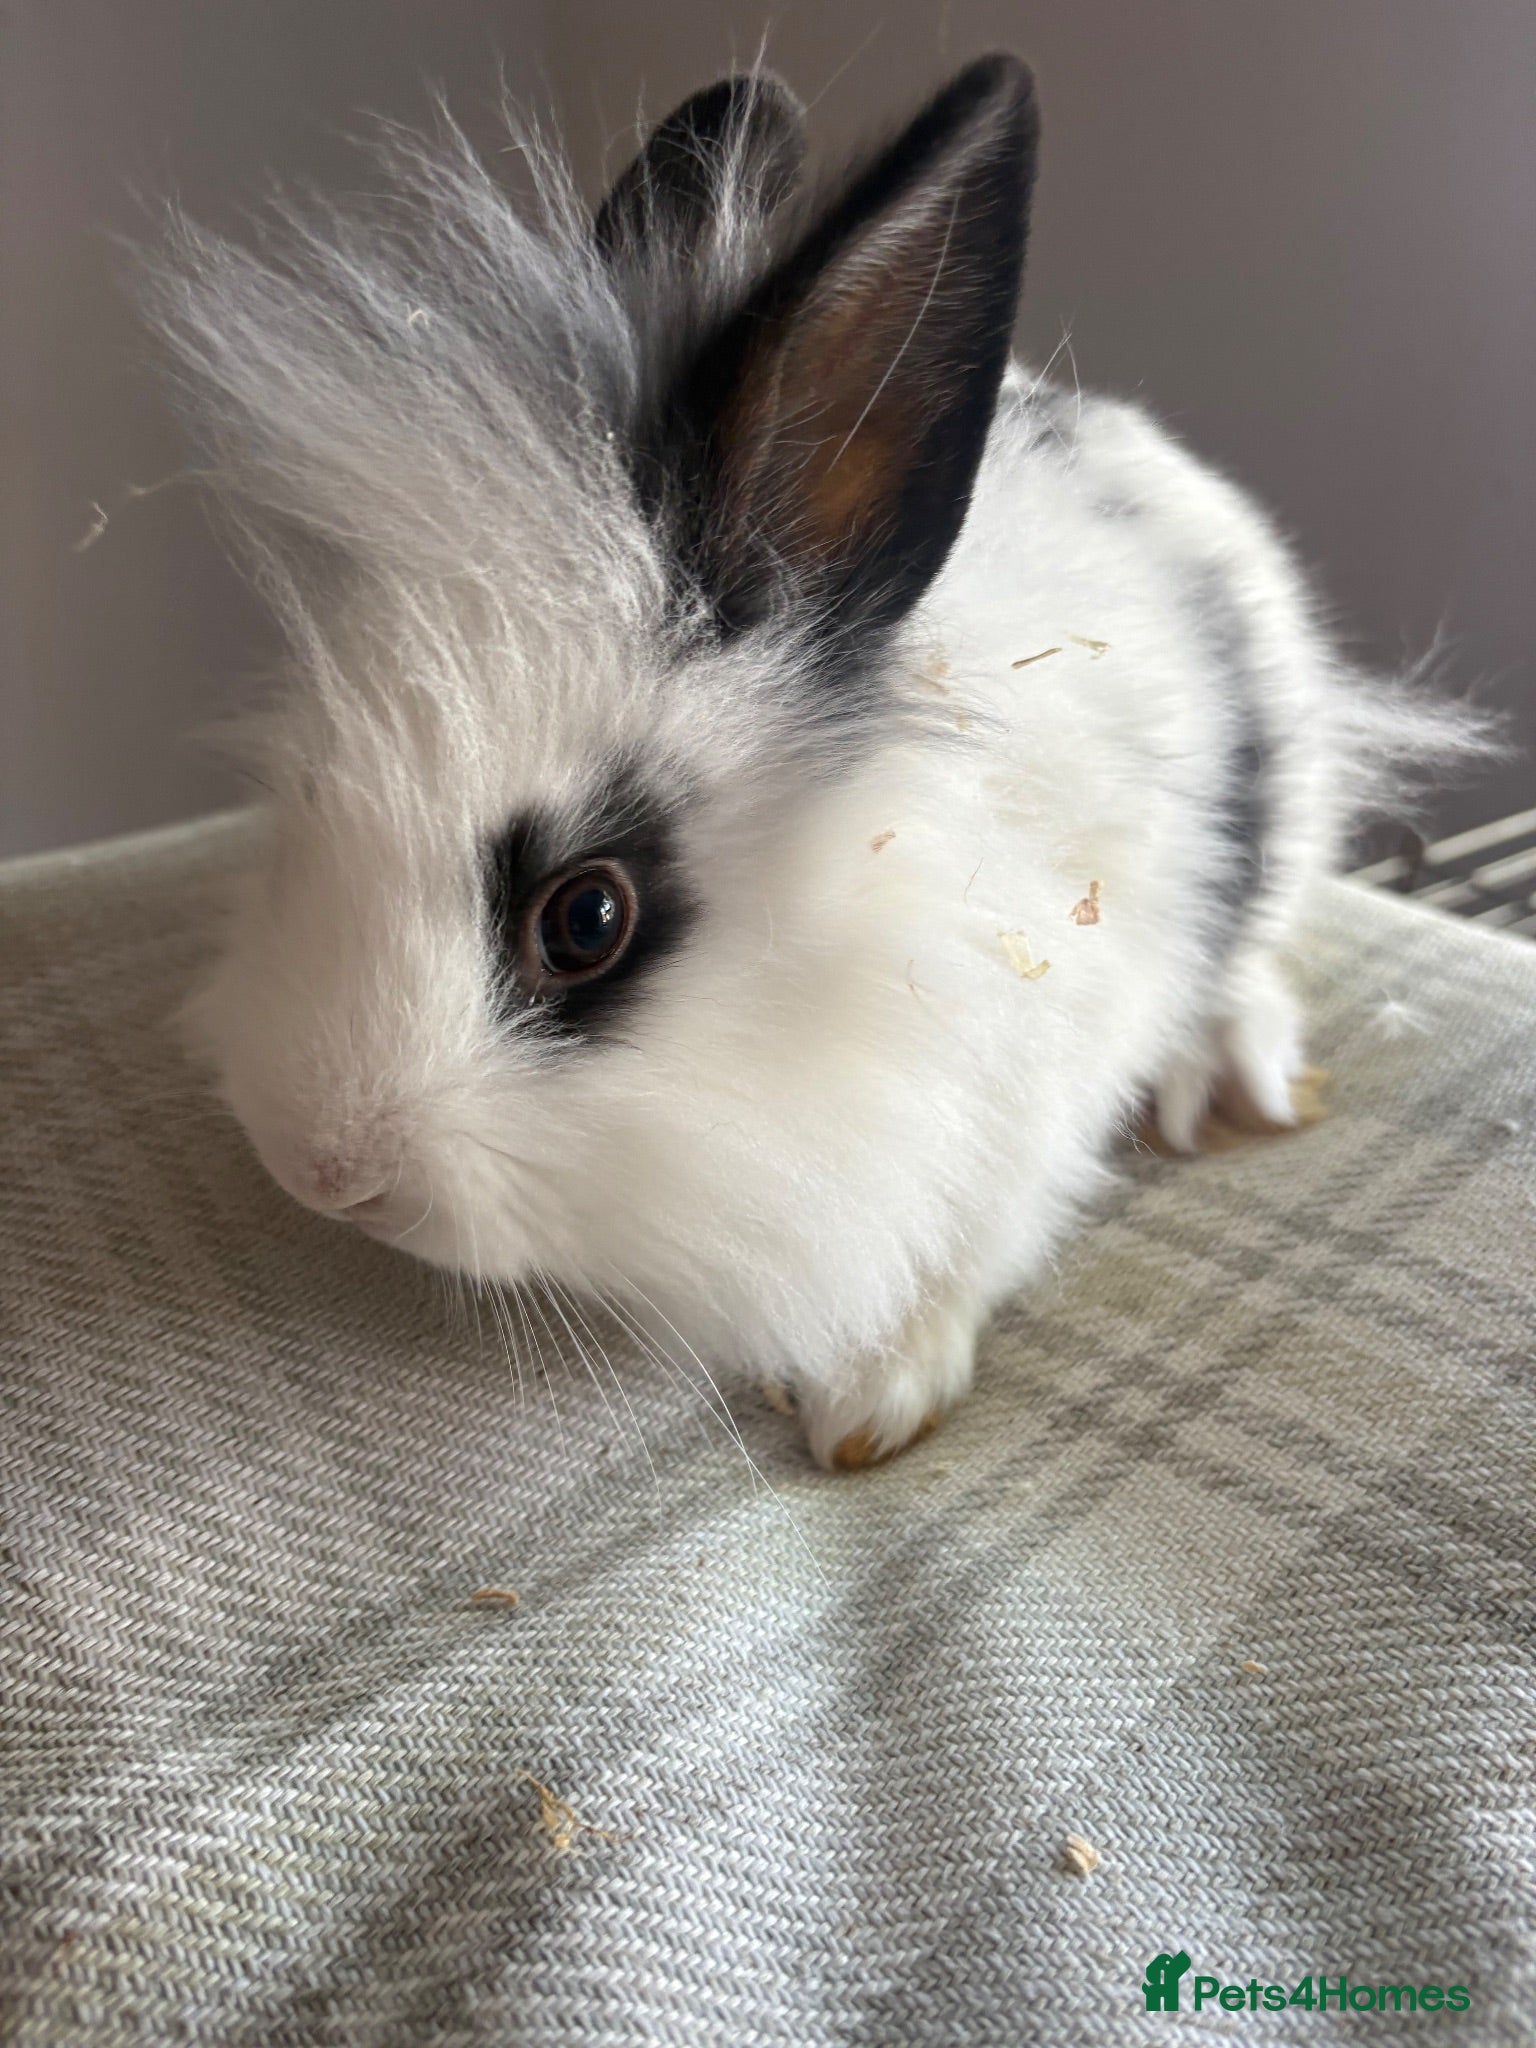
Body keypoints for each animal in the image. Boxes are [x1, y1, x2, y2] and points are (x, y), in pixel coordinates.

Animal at [151, 56, 1466, 1469]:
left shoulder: (1035, 1091)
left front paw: (874, 1393)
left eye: (587, 918)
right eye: (302, 792)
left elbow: (977, 1237)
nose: (326, 1173)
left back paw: (1235, 1075)